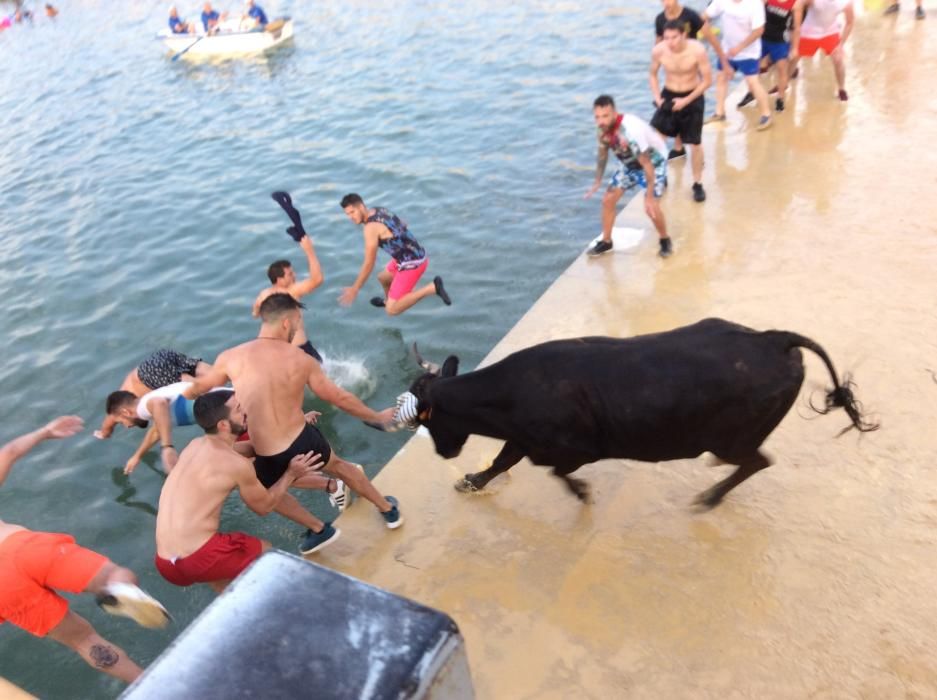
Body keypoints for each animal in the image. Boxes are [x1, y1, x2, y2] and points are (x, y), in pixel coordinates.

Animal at [376, 318, 872, 508]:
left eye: (427, 418)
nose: (443, 454)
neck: (509, 394)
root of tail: (774, 338)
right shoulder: (524, 440)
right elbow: (502, 462)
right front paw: (472, 481)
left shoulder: (572, 450)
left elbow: (555, 472)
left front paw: (581, 494)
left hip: (732, 440)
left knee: (757, 461)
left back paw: (710, 497)